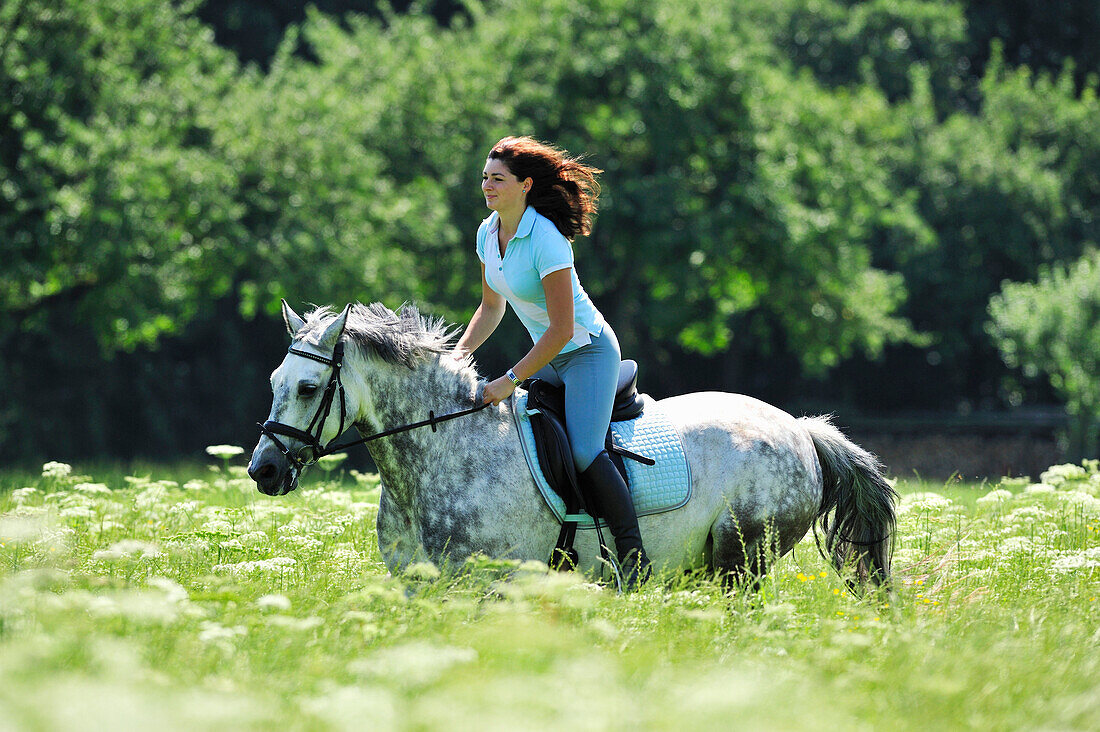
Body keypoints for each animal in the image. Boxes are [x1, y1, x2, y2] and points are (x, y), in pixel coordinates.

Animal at [247, 301, 893, 590]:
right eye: (275, 382)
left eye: (308, 388)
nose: (263, 470)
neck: (444, 450)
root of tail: (801, 429)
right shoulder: (421, 587)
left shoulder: (492, 587)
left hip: (744, 560)